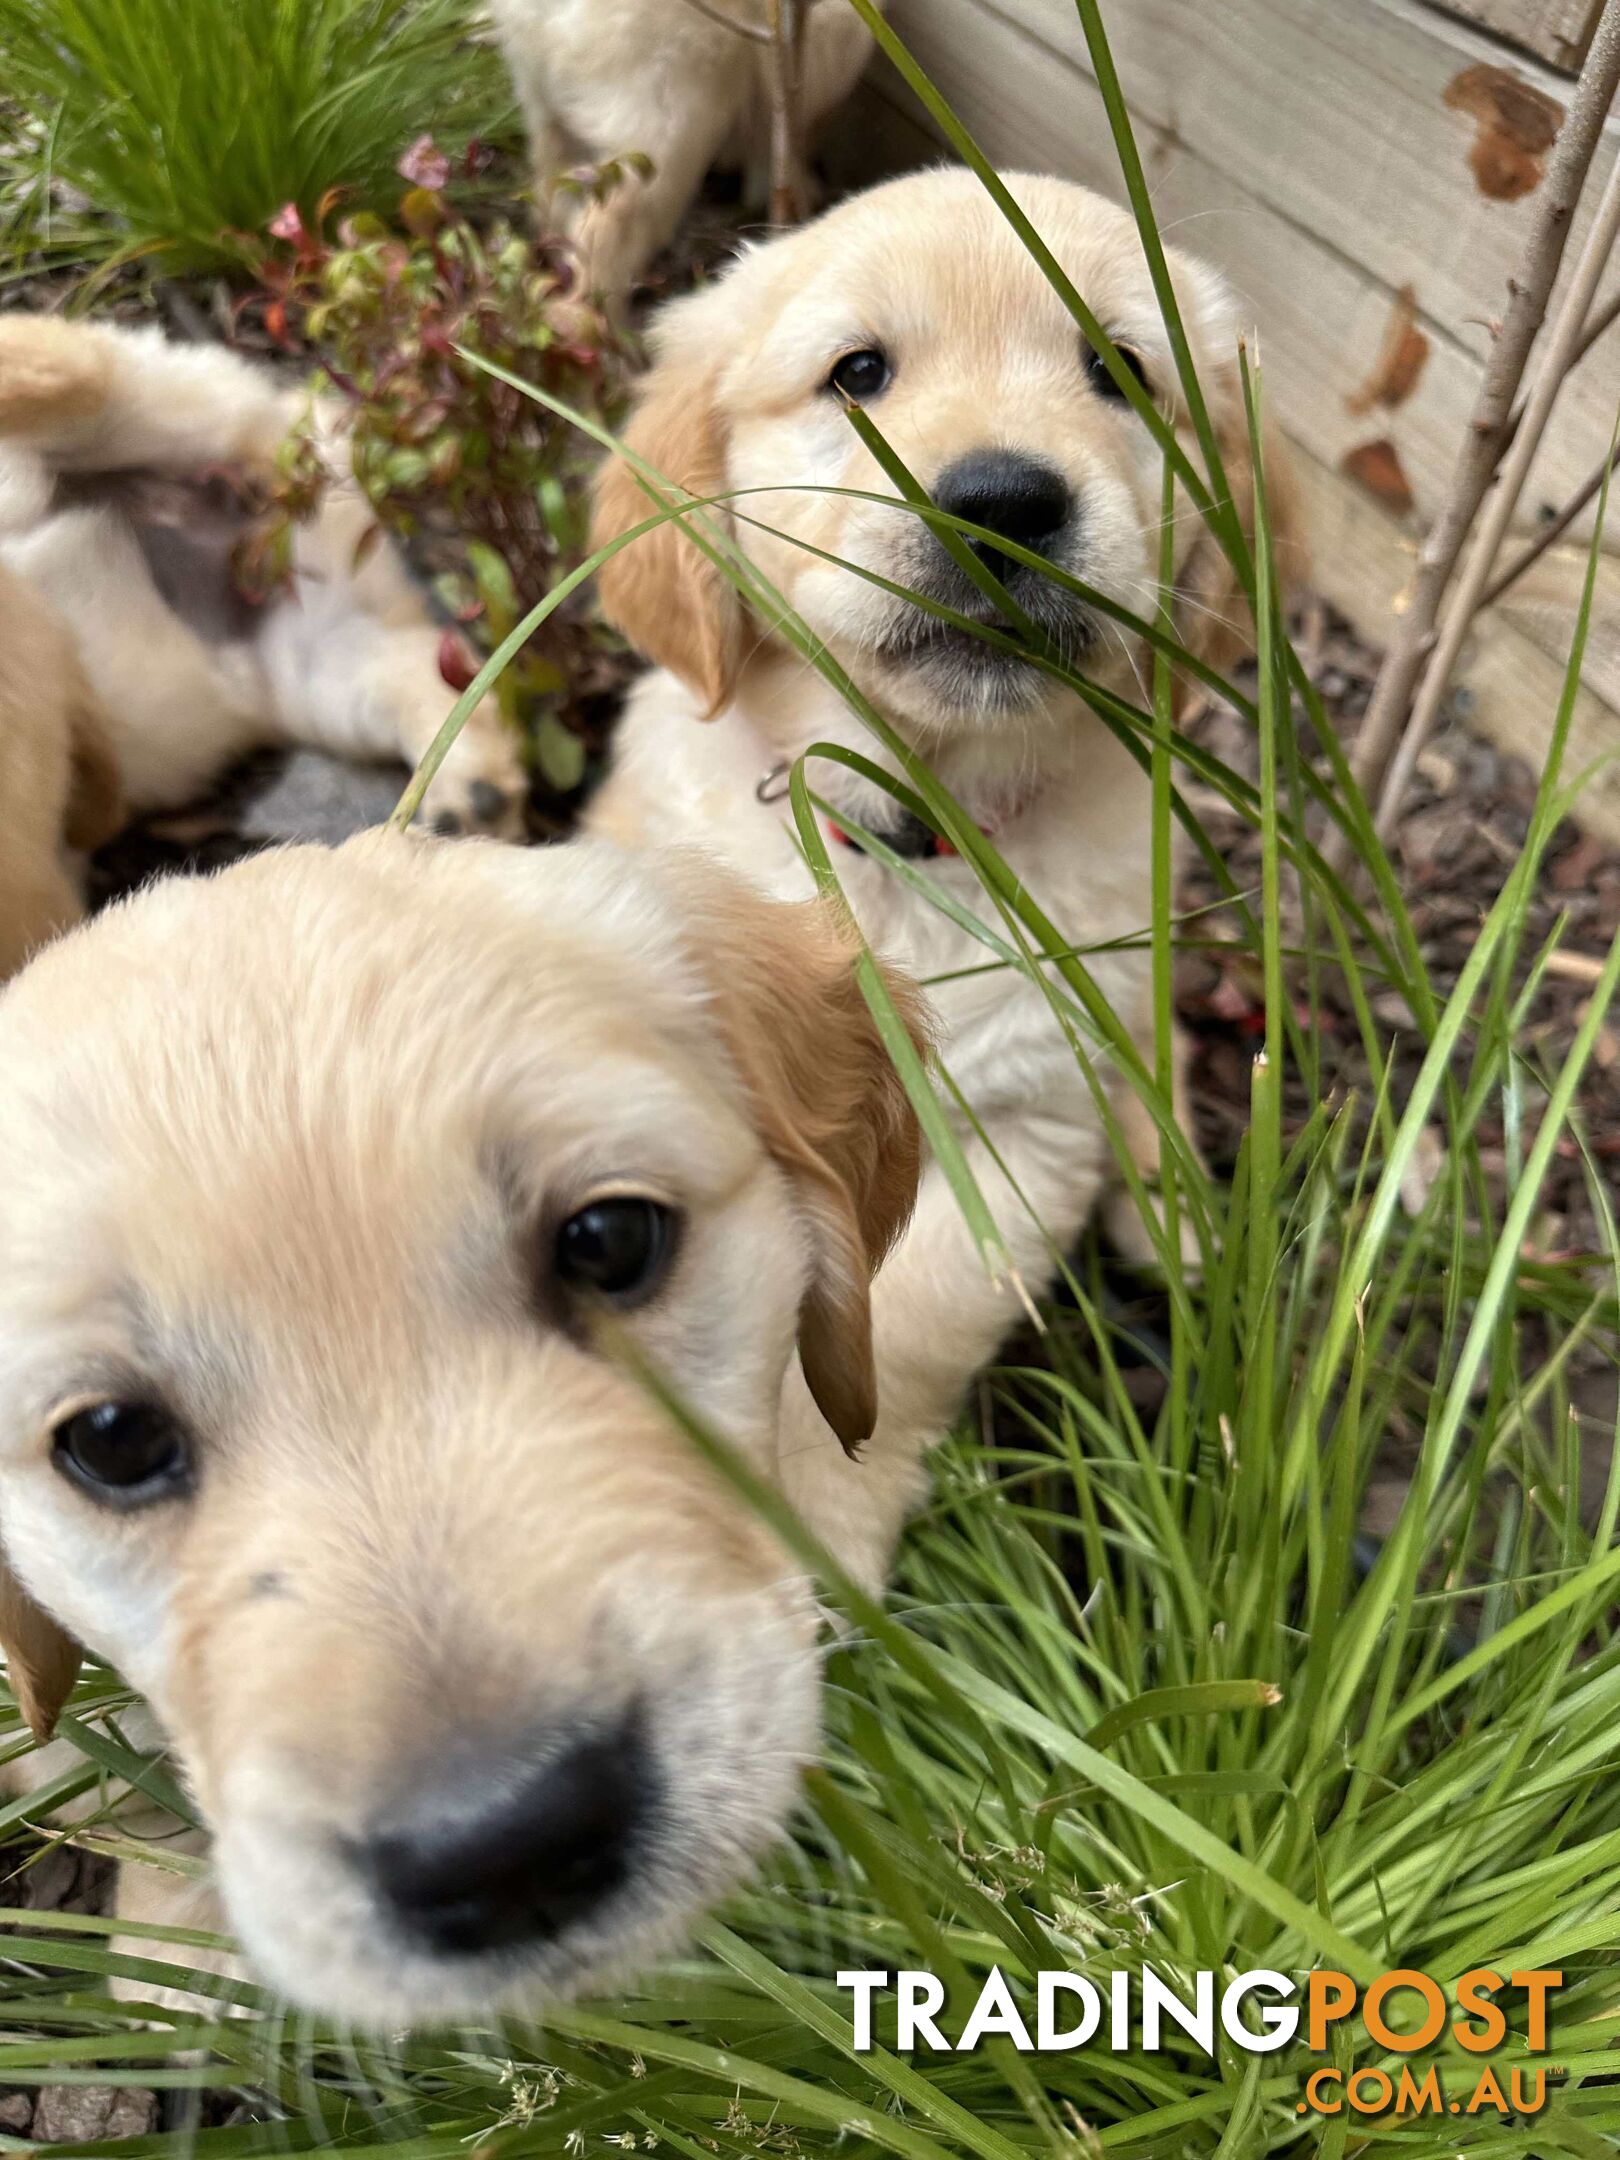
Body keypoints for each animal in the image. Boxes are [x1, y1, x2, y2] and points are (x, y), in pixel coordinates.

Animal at [591, 168, 1304, 1581]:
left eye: (1119, 373)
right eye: (858, 372)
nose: (1005, 503)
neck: (918, 830)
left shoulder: (1034, 1120)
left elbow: (906, 1326)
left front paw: (822, 1528)